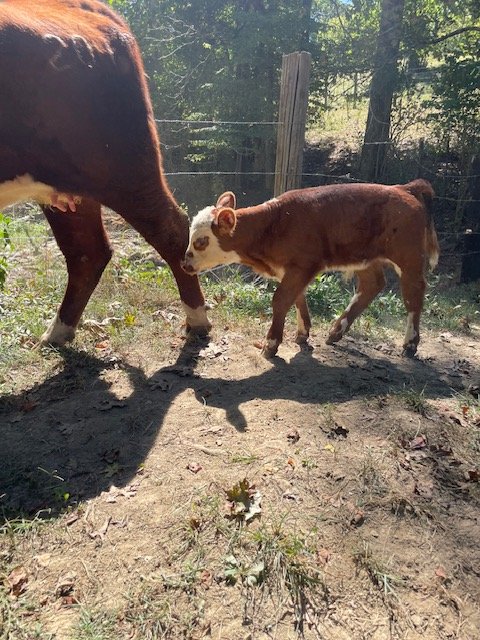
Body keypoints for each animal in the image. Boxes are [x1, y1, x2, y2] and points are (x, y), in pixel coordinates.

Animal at [0, 0, 210, 346]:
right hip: (71, 185)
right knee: (87, 252)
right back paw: (58, 331)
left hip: (122, 168)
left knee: (170, 228)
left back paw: (197, 319)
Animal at [182, 180, 439, 358]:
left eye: (201, 241)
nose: (184, 264)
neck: (274, 224)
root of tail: (404, 188)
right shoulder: (293, 270)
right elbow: (297, 297)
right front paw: (302, 333)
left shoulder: (302, 265)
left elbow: (281, 299)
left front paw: (271, 344)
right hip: (363, 257)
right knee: (372, 285)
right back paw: (336, 331)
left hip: (408, 257)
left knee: (413, 294)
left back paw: (410, 343)